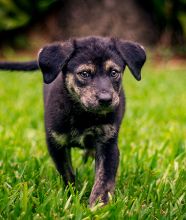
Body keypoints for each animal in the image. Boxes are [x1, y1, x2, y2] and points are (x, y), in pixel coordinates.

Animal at [0, 36, 146, 206]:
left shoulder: (108, 143)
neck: (84, 114)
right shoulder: (56, 143)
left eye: (114, 73)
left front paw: (98, 205)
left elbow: (104, 180)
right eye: (84, 74)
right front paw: (71, 196)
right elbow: (67, 173)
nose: (106, 100)